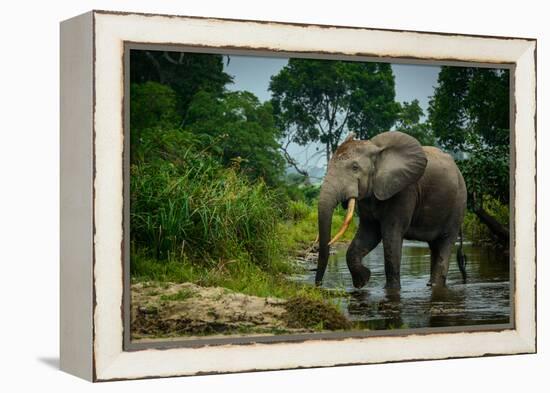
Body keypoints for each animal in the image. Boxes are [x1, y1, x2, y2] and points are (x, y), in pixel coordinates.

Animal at [316, 132, 468, 288]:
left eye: (355, 167)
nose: (318, 285)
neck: (376, 150)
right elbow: (369, 233)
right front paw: (362, 280)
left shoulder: (404, 191)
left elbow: (391, 235)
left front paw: (391, 289)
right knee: (435, 246)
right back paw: (431, 284)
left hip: (458, 203)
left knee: (445, 241)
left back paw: (436, 285)